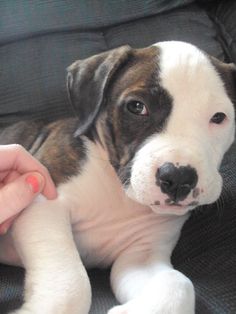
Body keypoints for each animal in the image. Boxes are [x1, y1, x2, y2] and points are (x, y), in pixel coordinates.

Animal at [0, 40, 236, 312]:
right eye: (137, 107)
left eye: (218, 117)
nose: (178, 178)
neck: (118, 193)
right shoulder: (43, 202)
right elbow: (72, 284)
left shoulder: (141, 254)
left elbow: (178, 284)